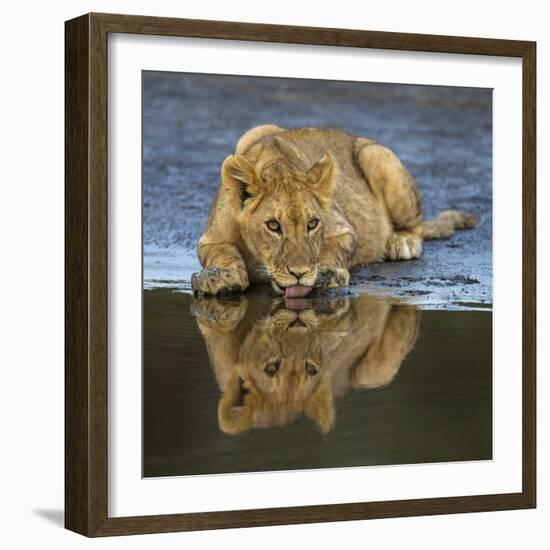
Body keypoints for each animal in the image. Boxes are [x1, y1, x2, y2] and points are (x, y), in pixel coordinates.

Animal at [191, 125, 478, 300]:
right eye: (273, 225)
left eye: (312, 224)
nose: (299, 274)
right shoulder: (210, 239)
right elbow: (223, 252)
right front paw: (220, 277)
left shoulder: (344, 230)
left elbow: (331, 250)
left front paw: (325, 274)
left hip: (377, 155)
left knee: (415, 226)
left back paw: (402, 242)